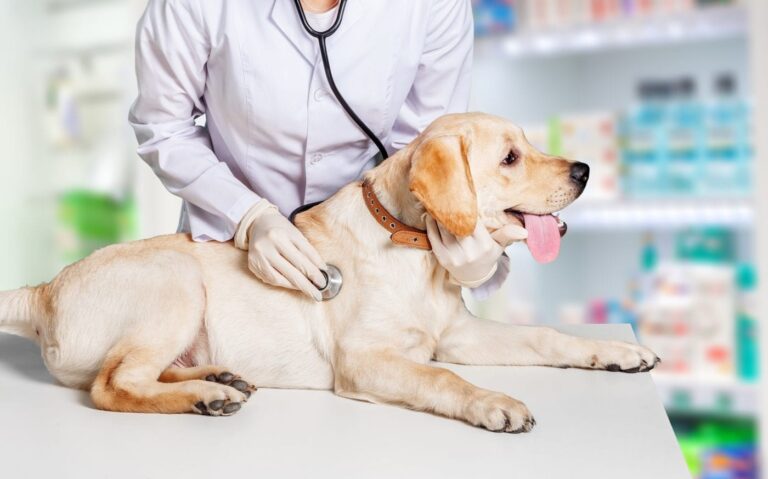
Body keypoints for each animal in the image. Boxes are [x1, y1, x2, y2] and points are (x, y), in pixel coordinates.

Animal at [1, 113, 660, 436]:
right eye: (510, 158)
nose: (584, 169)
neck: (415, 250)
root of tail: (43, 289)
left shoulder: (456, 335)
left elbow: (546, 336)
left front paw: (618, 353)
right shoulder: (367, 360)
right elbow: (443, 379)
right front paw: (493, 402)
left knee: (137, 373)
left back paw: (216, 377)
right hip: (175, 280)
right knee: (112, 385)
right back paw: (206, 397)